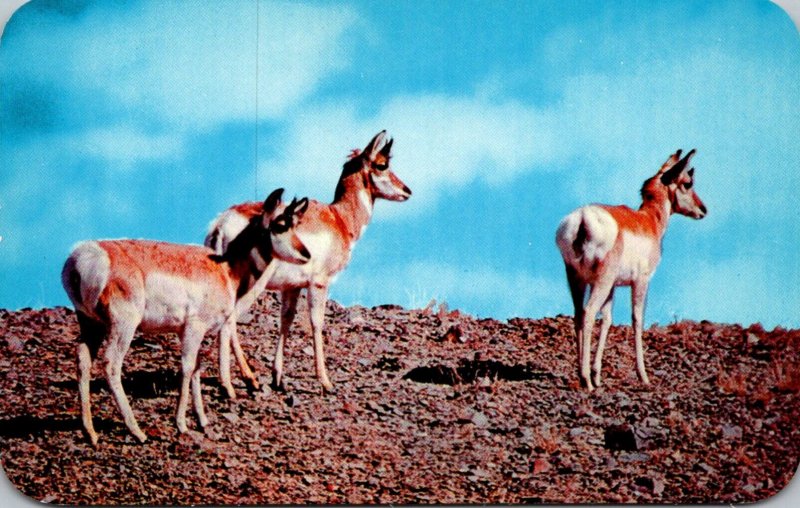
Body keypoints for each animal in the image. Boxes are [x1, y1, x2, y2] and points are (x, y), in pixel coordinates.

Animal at [59, 189, 308, 442]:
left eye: (296, 224)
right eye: (280, 225)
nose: (306, 254)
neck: (225, 268)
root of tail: (85, 256)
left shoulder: (189, 332)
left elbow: (197, 368)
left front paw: (202, 420)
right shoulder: (193, 329)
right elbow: (188, 368)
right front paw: (181, 423)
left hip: (91, 324)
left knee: (83, 361)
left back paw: (90, 432)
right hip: (122, 326)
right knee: (111, 364)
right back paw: (137, 431)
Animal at [206, 129, 412, 390]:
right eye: (382, 164)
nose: (407, 191)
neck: (339, 218)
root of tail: (222, 223)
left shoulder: (291, 288)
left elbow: (286, 320)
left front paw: (278, 377)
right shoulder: (319, 284)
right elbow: (316, 323)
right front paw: (325, 381)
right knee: (230, 319)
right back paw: (247, 378)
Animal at [556, 149, 708, 390]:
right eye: (688, 182)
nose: (703, 209)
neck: (649, 220)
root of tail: (583, 218)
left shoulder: (613, 288)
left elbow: (607, 320)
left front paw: (598, 374)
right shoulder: (641, 282)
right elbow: (637, 319)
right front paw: (643, 376)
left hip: (577, 280)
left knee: (579, 314)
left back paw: (584, 376)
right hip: (600, 282)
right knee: (588, 313)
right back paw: (586, 381)